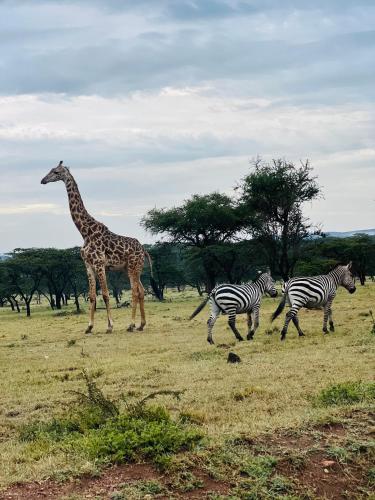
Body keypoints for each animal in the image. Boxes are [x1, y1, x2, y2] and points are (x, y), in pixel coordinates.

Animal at [40, 162, 160, 334]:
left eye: (56, 172)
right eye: (50, 170)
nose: (43, 180)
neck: (85, 232)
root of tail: (144, 250)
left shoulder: (99, 264)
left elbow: (105, 294)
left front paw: (110, 326)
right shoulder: (88, 265)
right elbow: (92, 296)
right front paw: (89, 327)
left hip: (133, 267)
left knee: (135, 292)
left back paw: (131, 325)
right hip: (130, 268)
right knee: (142, 291)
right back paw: (141, 324)